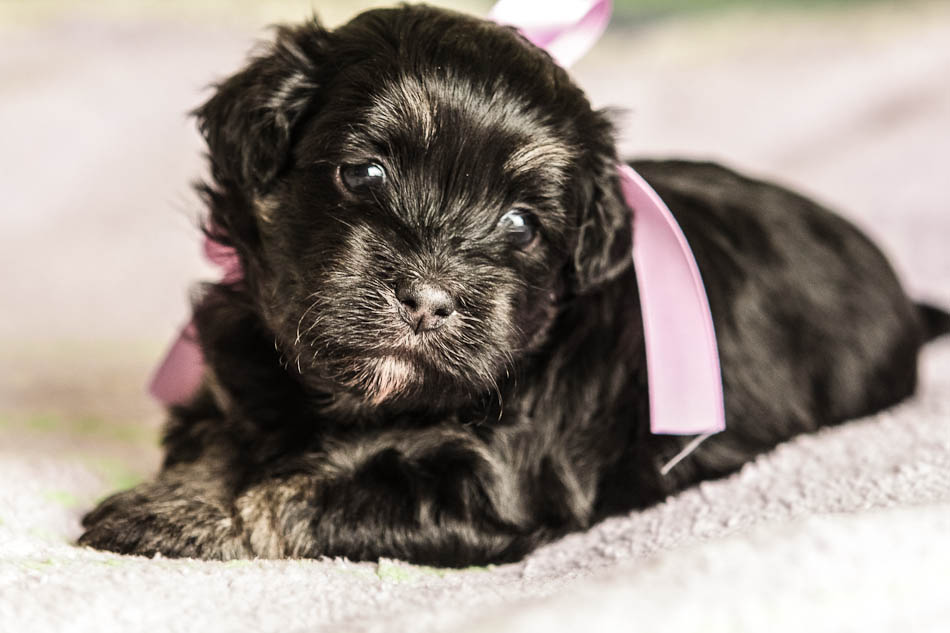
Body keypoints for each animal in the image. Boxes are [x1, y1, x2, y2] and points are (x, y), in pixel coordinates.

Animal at [78, 4, 948, 564]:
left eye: (522, 224)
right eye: (363, 173)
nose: (428, 299)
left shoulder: (490, 486)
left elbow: (301, 490)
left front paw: (202, 517)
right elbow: (222, 442)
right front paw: (176, 500)